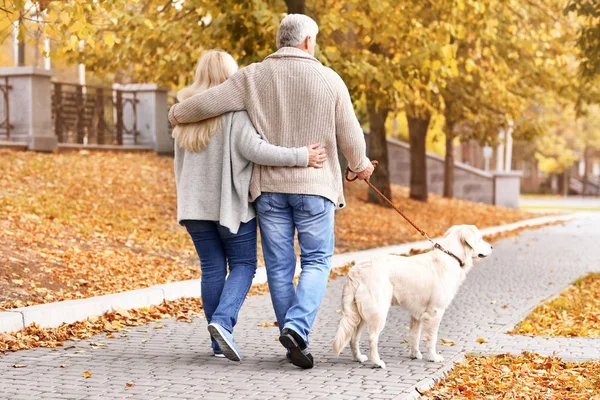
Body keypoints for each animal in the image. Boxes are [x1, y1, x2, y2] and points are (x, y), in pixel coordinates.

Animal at [332, 225, 492, 368]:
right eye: (480, 238)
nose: (491, 247)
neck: (451, 256)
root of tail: (356, 270)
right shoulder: (435, 312)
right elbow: (431, 338)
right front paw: (433, 357)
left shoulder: (417, 314)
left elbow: (415, 335)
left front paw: (415, 354)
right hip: (378, 311)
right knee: (372, 338)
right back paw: (377, 362)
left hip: (359, 314)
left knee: (353, 337)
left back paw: (358, 358)